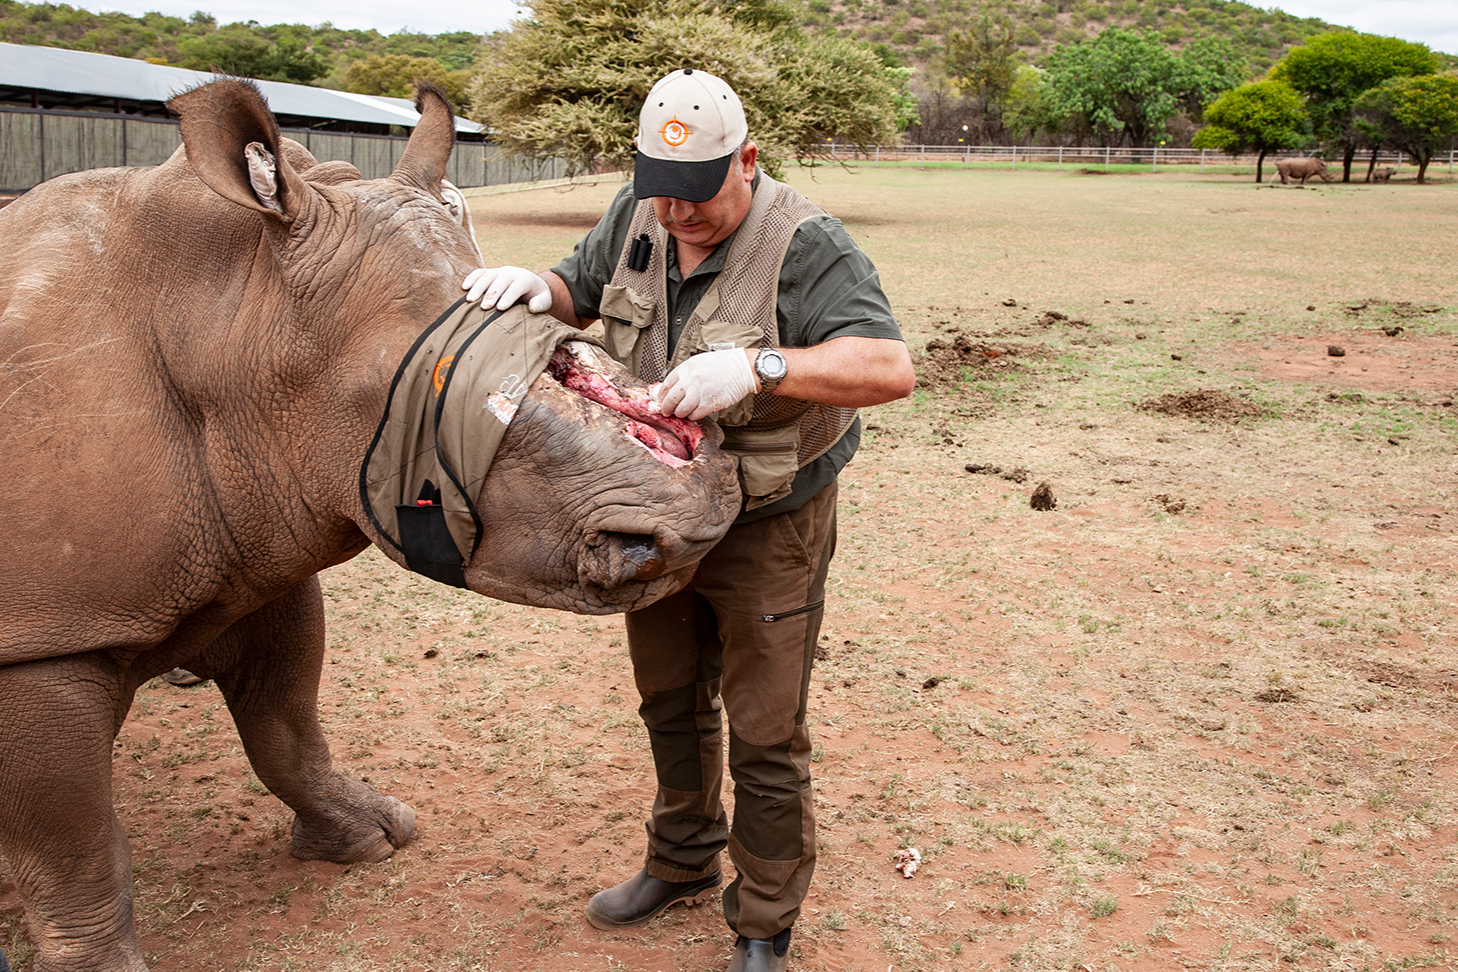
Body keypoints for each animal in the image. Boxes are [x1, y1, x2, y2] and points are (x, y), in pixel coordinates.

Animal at [0, 80, 738, 972]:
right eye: (439, 385)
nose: (695, 525)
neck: (231, 312)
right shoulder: (42, 633)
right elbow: (71, 840)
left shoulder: (260, 532)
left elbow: (286, 719)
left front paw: (371, 837)